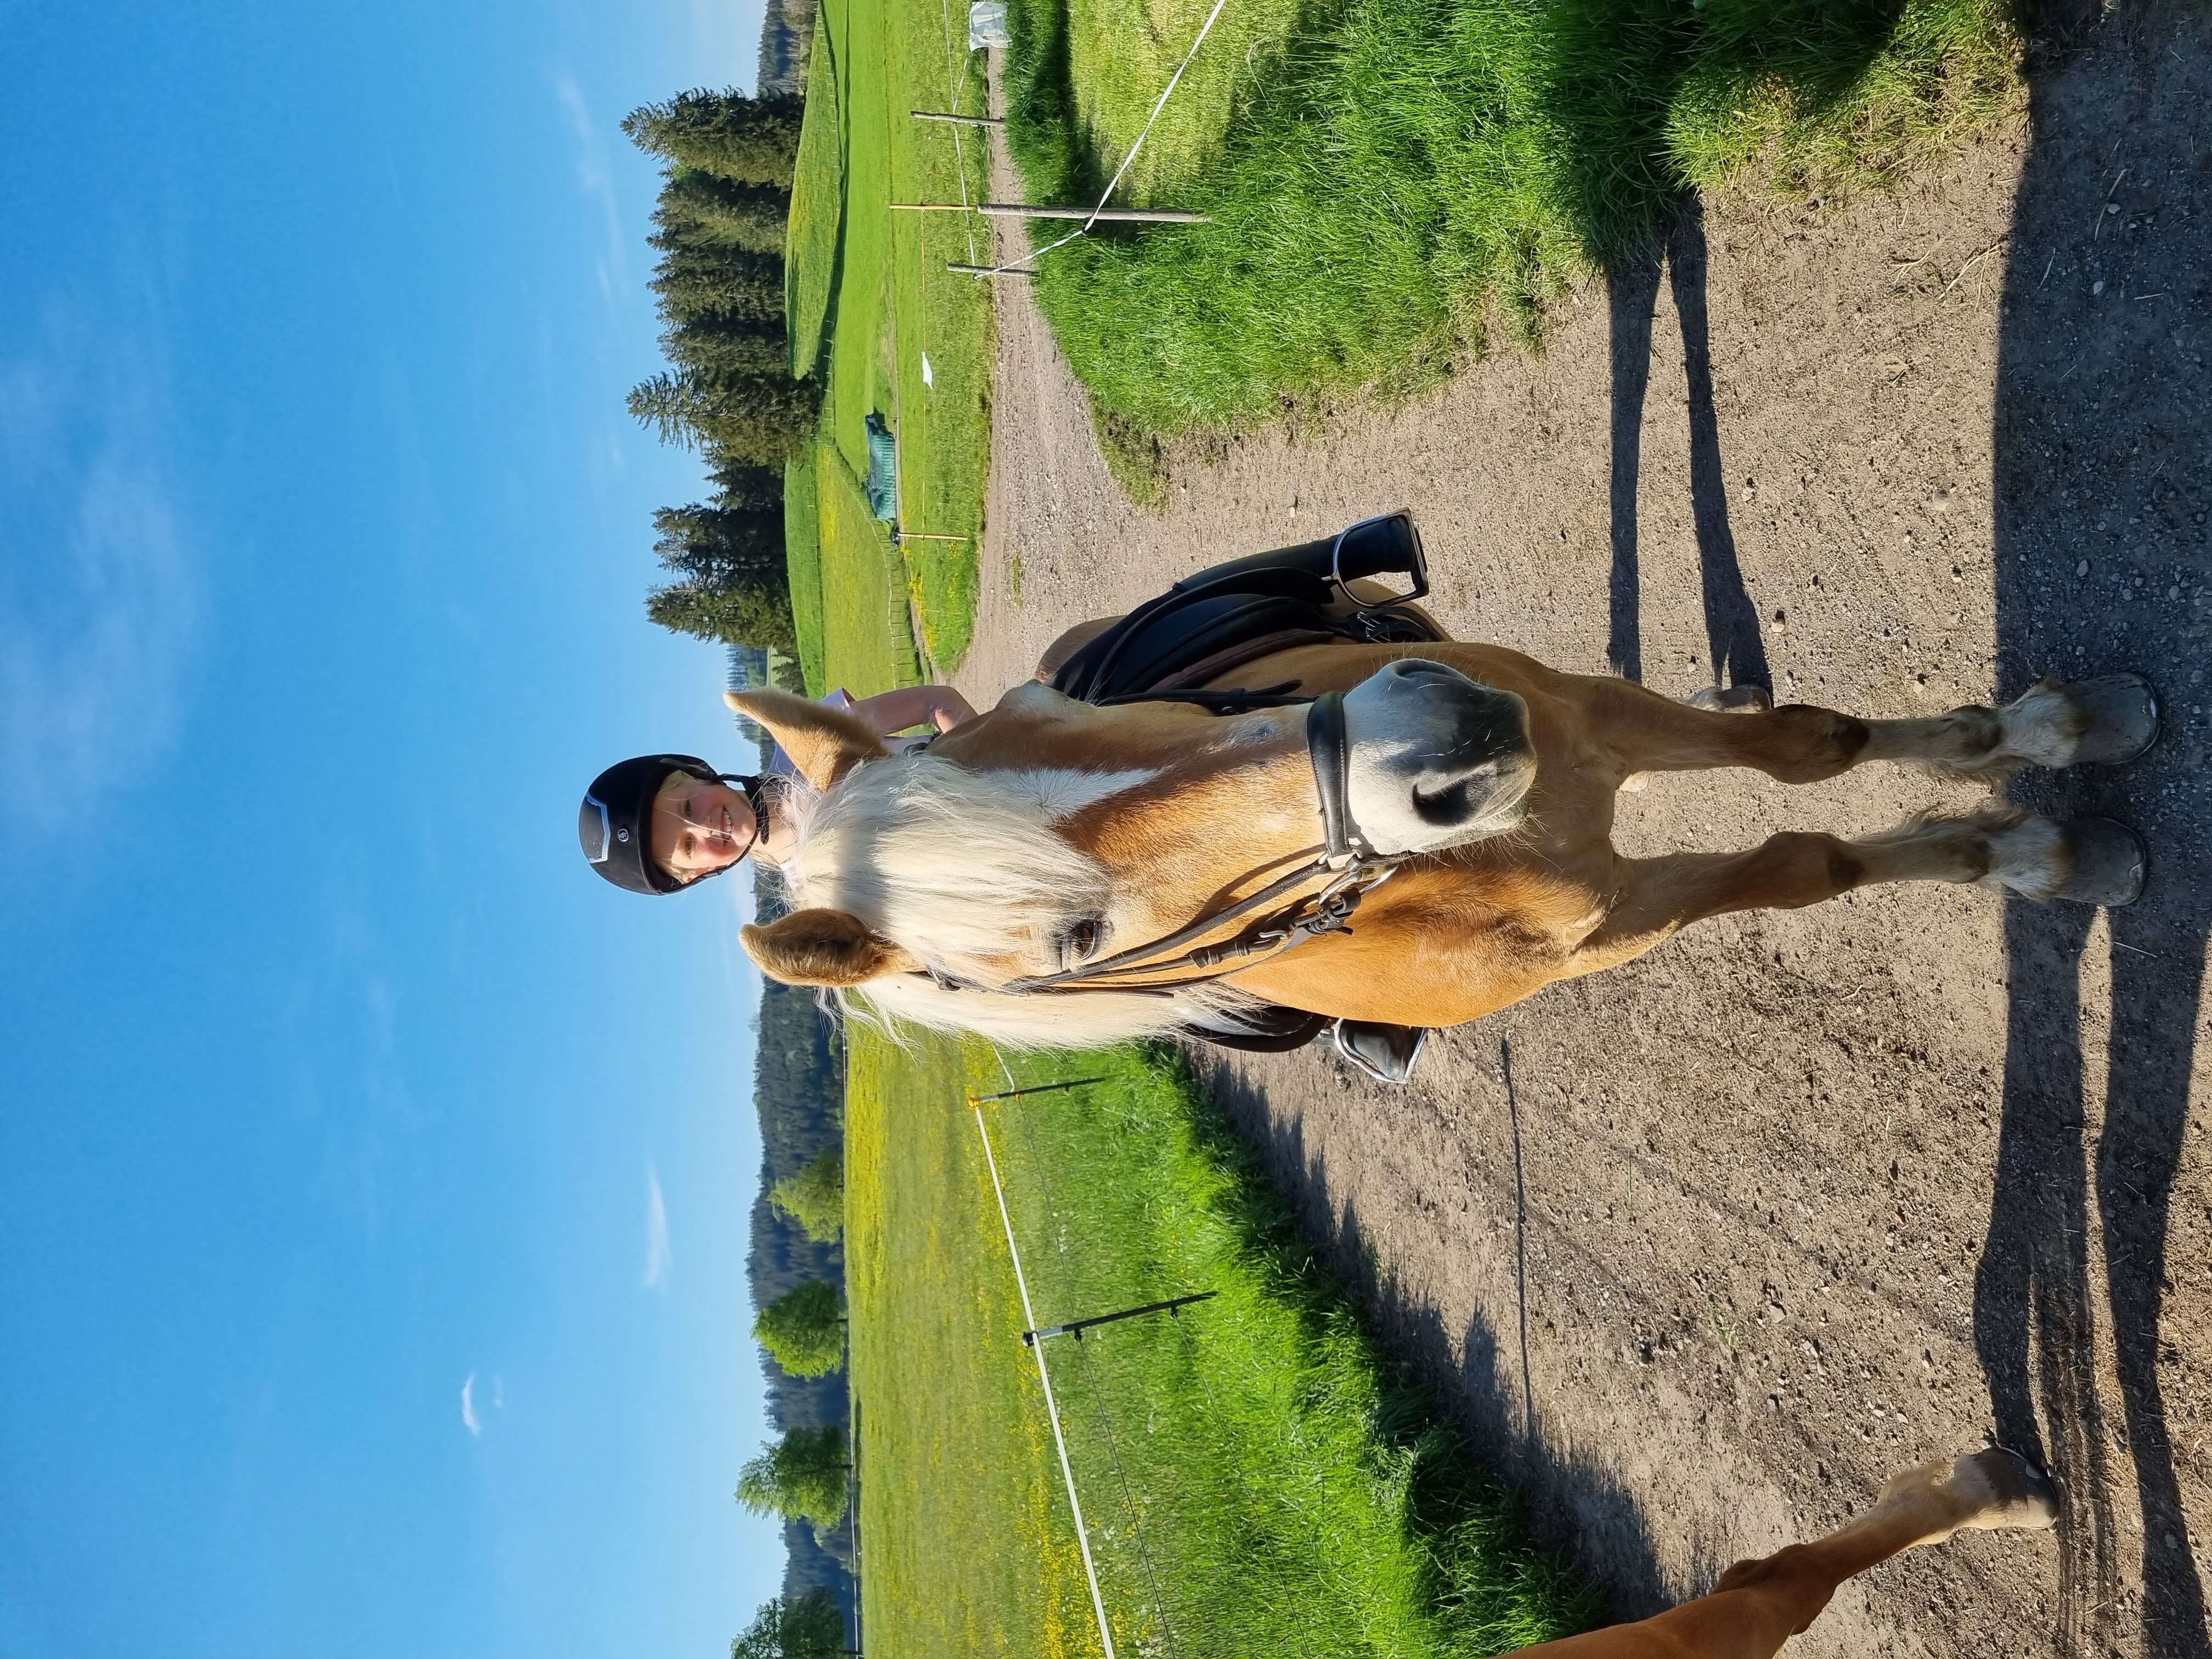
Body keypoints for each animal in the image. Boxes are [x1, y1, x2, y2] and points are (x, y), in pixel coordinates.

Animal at [725, 645, 2154, 1048]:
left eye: (1052, 699)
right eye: (1074, 940)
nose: (1439, 744)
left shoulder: (1587, 716)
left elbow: (1812, 750)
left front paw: (2043, 734)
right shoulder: (1617, 922)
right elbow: (1811, 866)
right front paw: (2025, 850)